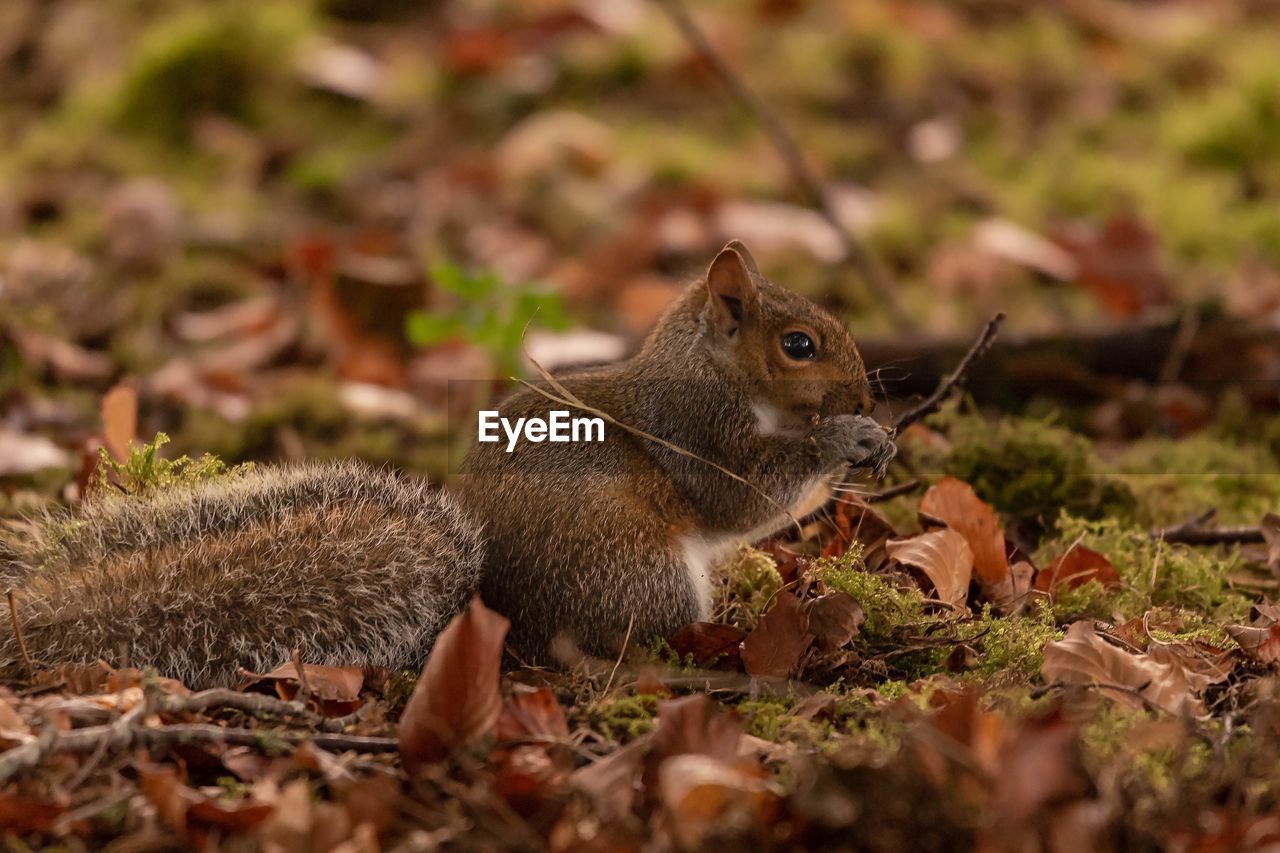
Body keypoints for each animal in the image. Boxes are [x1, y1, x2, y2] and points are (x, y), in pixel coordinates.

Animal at [0, 236, 896, 686]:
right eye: (798, 345)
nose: (862, 391)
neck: (711, 369)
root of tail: (490, 607)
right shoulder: (696, 431)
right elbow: (744, 495)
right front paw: (843, 440)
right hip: (639, 567)